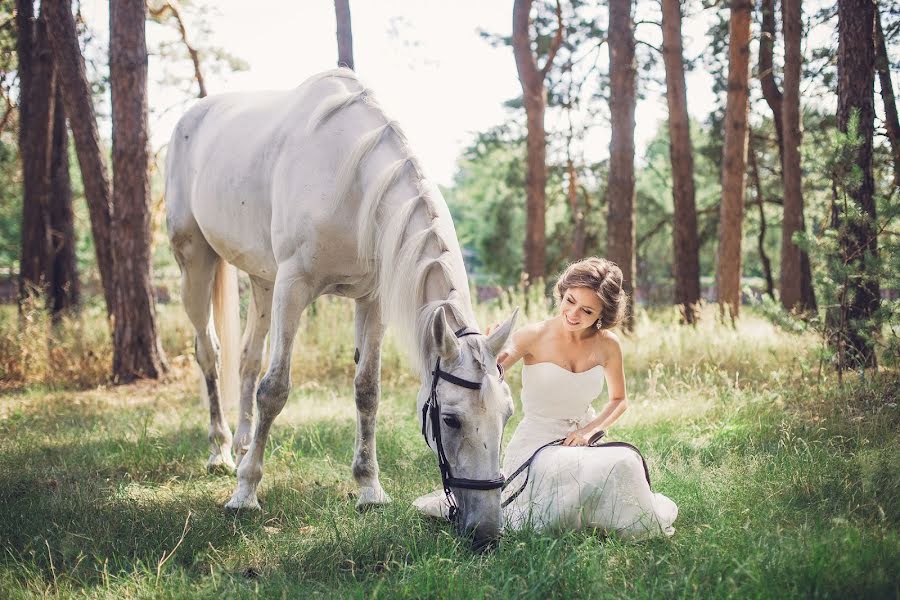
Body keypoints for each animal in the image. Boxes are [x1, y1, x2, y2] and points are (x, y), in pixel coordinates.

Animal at [165, 68, 516, 548]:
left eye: (508, 413)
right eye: (450, 419)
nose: (486, 531)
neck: (353, 181)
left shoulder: (372, 301)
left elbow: (367, 391)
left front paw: (369, 488)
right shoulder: (293, 286)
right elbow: (275, 389)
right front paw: (245, 493)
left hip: (262, 282)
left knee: (248, 359)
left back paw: (240, 444)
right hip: (196, 265)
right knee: (210, 353)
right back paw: (220, 452)